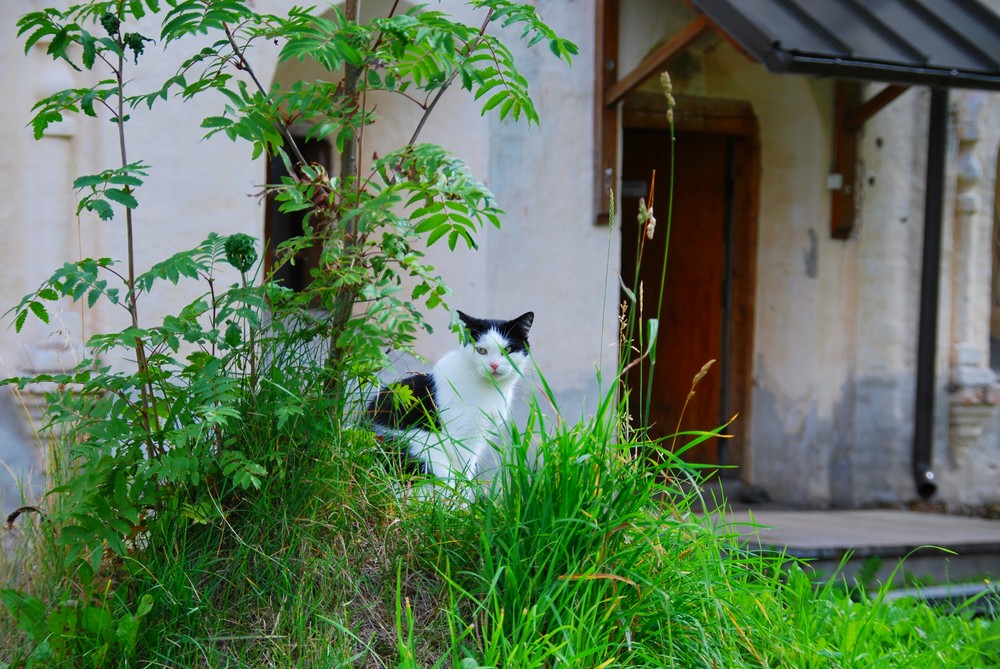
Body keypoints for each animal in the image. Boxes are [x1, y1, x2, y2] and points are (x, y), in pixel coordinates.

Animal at [368, 310, 536, 494]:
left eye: (507, 350)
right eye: (481, 350)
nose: (494, 365)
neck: (489, 389)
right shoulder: (462, 437)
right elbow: (463, 472)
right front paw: (463, 499)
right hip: (424, 452)